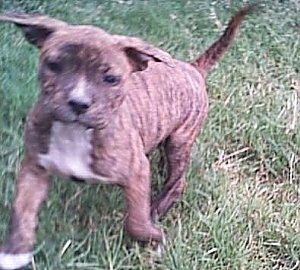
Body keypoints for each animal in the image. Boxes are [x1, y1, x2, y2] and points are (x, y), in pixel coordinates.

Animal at [0, 5, 254, 268]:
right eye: (53, 65)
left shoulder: (136, 172)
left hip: (179, 141)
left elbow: (136, 221)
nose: (78, 103)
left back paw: (158, 208)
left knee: (177, 182)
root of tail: (193, 68)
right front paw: (14, 252)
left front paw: (153, 237)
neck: (76, 132)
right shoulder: (35, 167)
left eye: (111, 79)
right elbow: (22, 209)